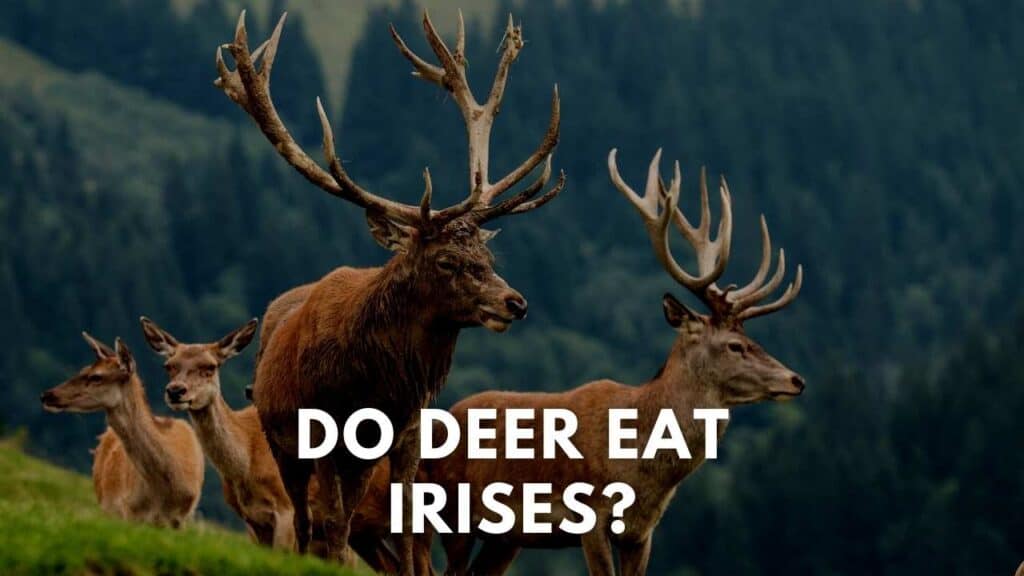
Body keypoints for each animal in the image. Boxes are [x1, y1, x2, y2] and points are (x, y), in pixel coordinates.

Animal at [140, 315, 403, 572]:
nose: (175, 391)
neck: (247, 463)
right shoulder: (253, 520)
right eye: (169, 365)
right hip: (366, 534)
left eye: (210, 367)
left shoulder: (285, 508)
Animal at [212, 9, 564, 573]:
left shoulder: (407, 436)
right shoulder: (321, 435)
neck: (373, 386)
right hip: (282, 441)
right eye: (446, 260)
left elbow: (406, 527)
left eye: (488, 259)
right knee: (309, 522)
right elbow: (333, 525)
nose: (516, 303)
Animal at [418, 149, 805, 576]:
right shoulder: (591, 514)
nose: (795, 379)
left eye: (754, 340)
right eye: (736, 345)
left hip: (505, 538)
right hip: (450, 512)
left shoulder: (642, 531)